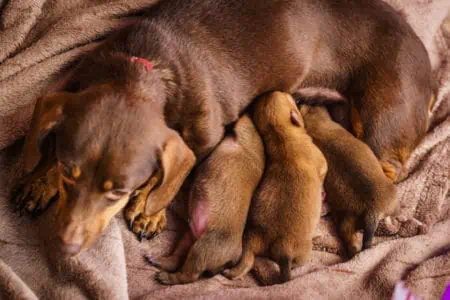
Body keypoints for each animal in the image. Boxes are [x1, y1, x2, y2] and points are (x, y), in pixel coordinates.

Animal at [146, 114, 266, 284]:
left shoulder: (243, 128)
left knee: (188, 275)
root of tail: (234, 256)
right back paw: (160, 261)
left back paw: (165, 277)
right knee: (177, 258)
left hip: (202, 249)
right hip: (189, 238)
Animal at [224, 91, 326, 284]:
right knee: (299, 262)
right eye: (289, 98)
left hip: (250, 242)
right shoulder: (321, 160)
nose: (294, 95)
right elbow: (324, 171)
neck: (281, 136)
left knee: (248, 261)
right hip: (304, 250)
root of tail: (280, 248)